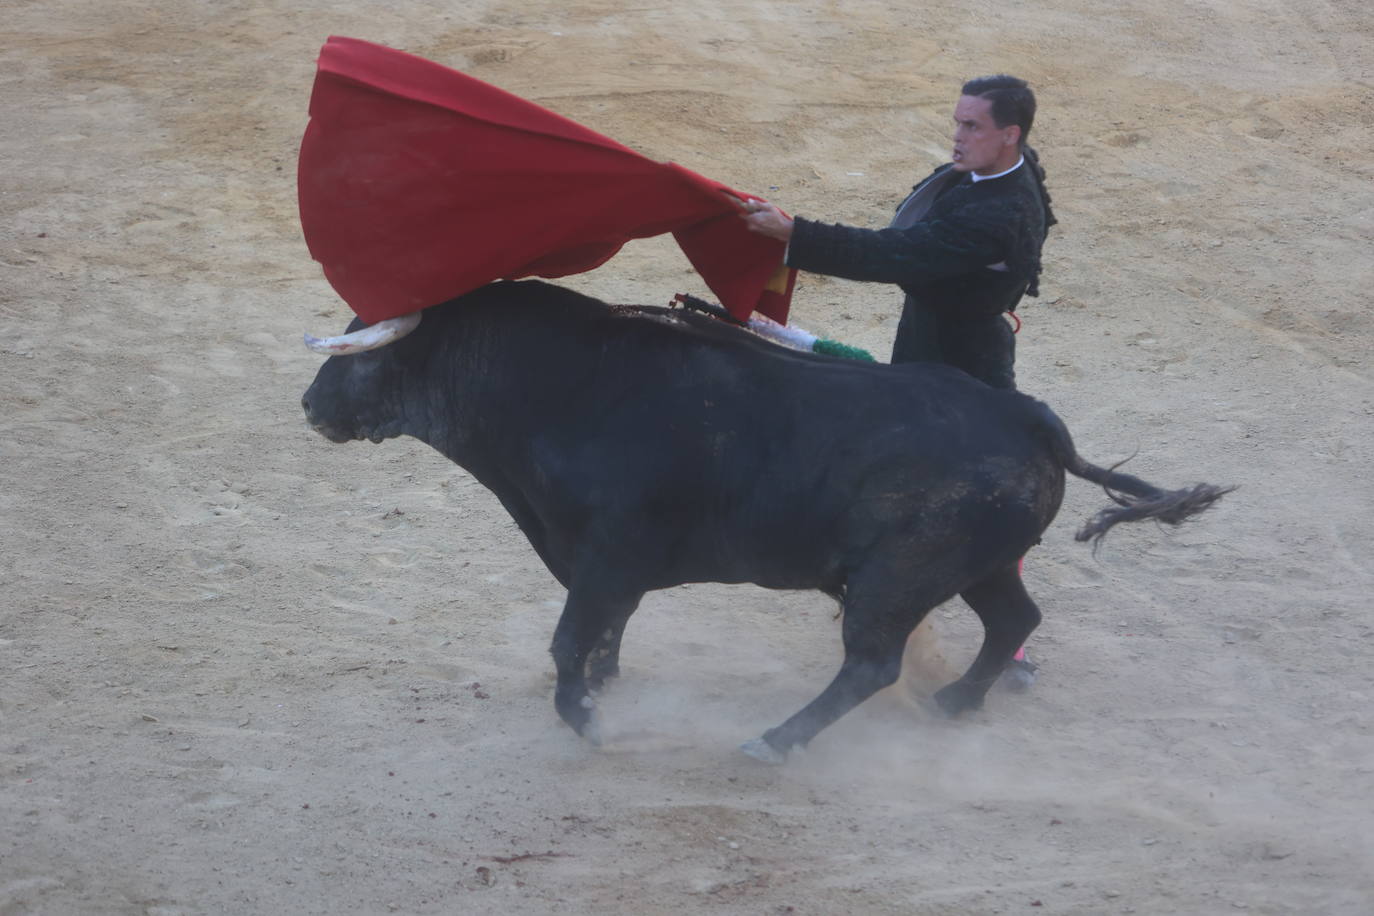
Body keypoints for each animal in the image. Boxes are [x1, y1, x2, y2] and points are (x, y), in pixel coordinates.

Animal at [298, 281, 1225, 769]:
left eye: (365, 354)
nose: (309, 406)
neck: (553, 388)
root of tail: (1031, 420)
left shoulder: (606, 556)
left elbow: (570, 640)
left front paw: (589, 721)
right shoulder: (607, 570)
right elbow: (603, 635)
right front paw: (602, 688)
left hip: (894, 580)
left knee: (872, 663)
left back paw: (772, 744)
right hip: (977, 564)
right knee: (1014, 619)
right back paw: (956, 702)